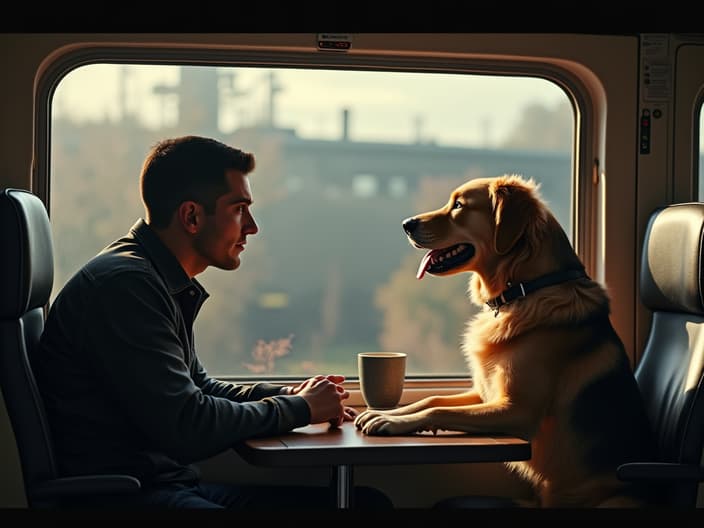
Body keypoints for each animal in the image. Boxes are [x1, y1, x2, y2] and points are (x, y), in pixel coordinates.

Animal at [354, 173, 656, 508]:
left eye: (459, 205)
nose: (406, 224)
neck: (523, 291)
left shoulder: (516, 410)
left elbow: (438, 411)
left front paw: (393, 422)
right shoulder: (484, 393)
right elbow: (431, 400)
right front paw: (386, 413)